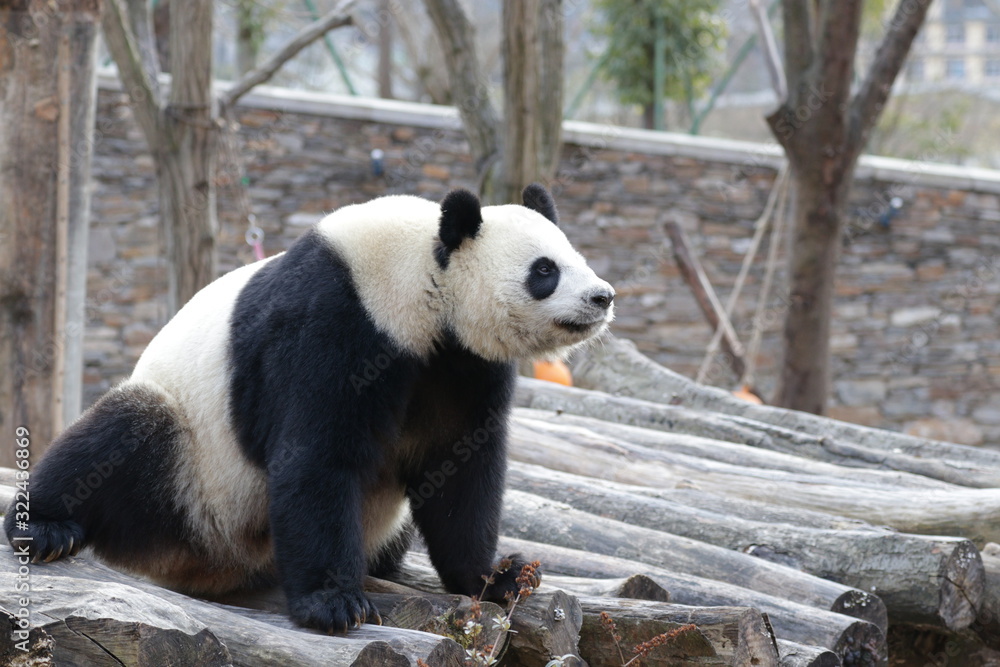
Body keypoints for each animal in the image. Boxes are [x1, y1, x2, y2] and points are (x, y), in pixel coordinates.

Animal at [4, 184, 614, 633]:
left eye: (579, 258)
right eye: (545, 270)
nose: (602, 296)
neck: (422, 280)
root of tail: (212, 564)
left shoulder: (461, 363)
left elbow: (461, 467)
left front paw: (498, 578)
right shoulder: (337, 318)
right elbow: (317, 454)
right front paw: (334, 605)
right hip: (188, 473)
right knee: (122, 433)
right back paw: (45, 528)